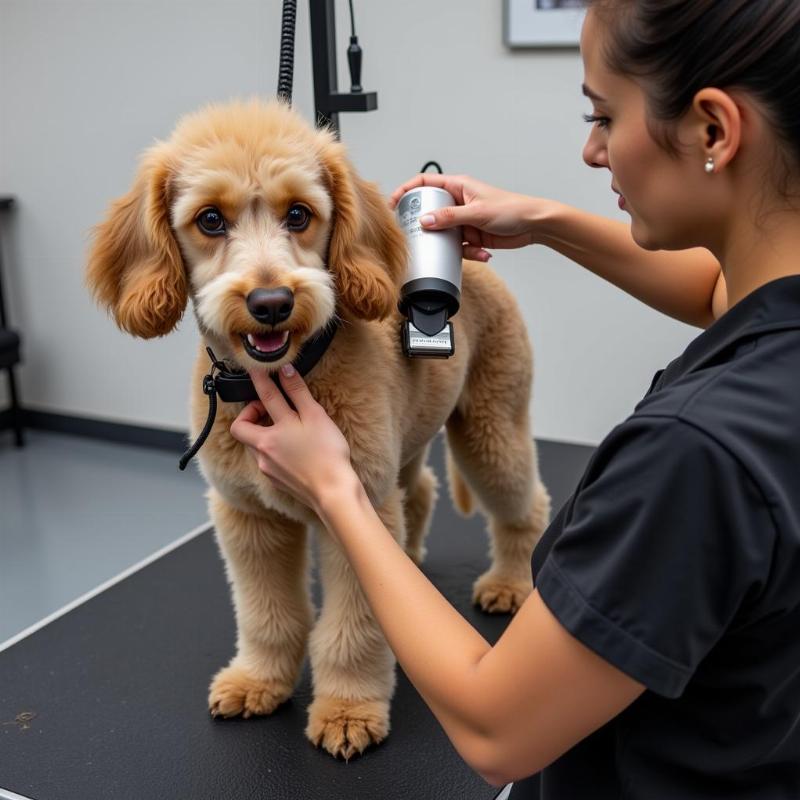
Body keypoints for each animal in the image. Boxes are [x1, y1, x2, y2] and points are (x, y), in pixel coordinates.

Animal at [86, 100, 552, 764]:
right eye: (210, 220)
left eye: (299, 214)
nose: (271, 302)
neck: (278, 382)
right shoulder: (247, 517)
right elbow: (267, 615)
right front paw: (259, 680)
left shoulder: (354, 511)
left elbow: (350, 629)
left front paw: (348, 710)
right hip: (405, 444)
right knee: (420, 492)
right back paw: (412, 557)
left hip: (490, 430)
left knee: (522, 505)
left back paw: (510, 583)